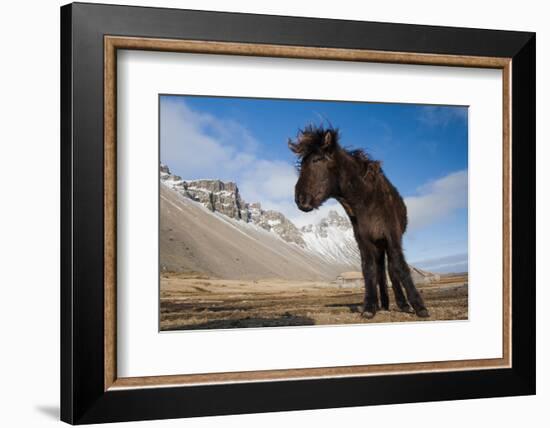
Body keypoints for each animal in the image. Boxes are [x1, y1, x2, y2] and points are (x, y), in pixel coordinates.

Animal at [288, 123, 432, 318]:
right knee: (380, 271)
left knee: (391, 269)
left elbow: (400, 267)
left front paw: (419, 306)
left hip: (385, 242)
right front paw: (370, 307)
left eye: (317, 160)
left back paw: (402, 304)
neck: (367, 200)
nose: (300, 199)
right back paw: (383, 303)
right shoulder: (364, 240)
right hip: (378, 244)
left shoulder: (392, 236)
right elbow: (368, 269)